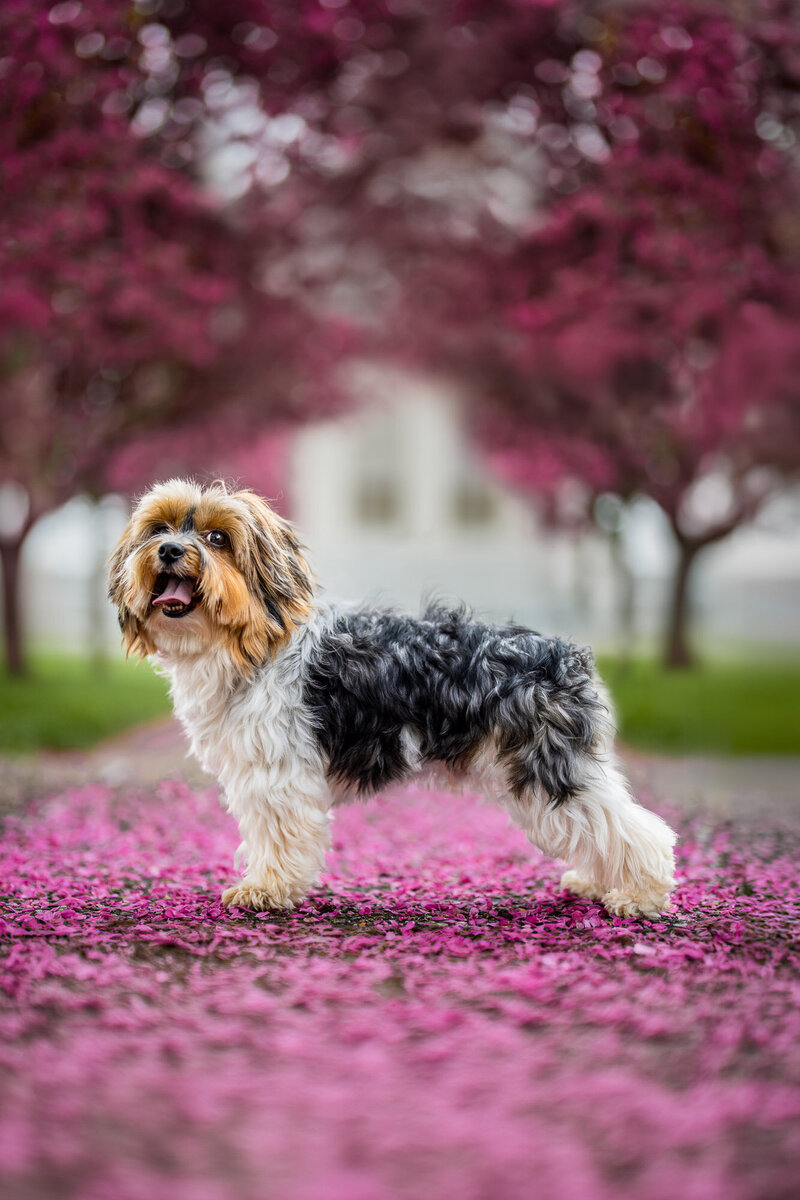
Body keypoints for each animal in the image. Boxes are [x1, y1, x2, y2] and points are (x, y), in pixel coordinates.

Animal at [109, 477, 681, 916]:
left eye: (217, 537)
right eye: (158, 529)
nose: (170, 550)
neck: (248, 645)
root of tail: (565, 655)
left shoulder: (277, 775)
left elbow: (276, 837)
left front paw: (265, 890)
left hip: (546, 770)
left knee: (636, 831)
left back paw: (641, 896)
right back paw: (597, 882)